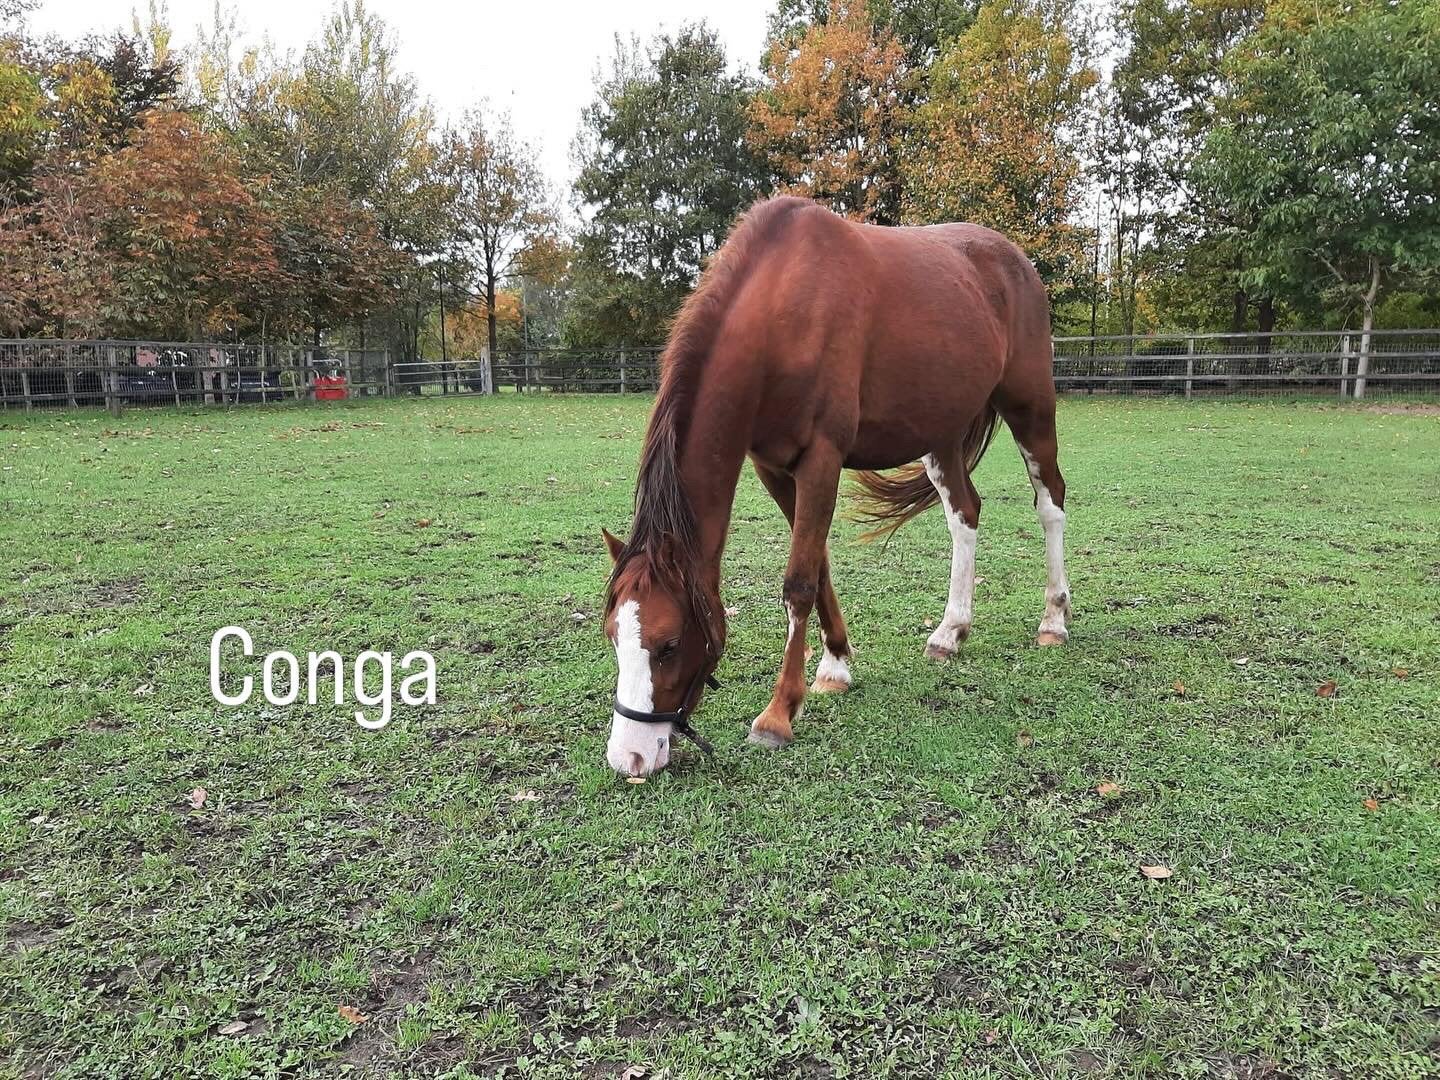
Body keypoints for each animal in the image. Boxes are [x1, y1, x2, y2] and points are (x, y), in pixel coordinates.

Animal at [602, 196, 1071, 777]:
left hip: (1031, 408)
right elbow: (819, 563)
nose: (629, 757)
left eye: (668, 645)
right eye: (612, 636)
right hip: (939, 431)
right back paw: (950, 631)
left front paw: (779, 714)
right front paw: (835, 665)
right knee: (964, 513)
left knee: (1050, 503)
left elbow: (799, 582)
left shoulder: (821, 461)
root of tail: (1014, 259)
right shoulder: (773, 467)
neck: (781, 314)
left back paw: (1054, 619)